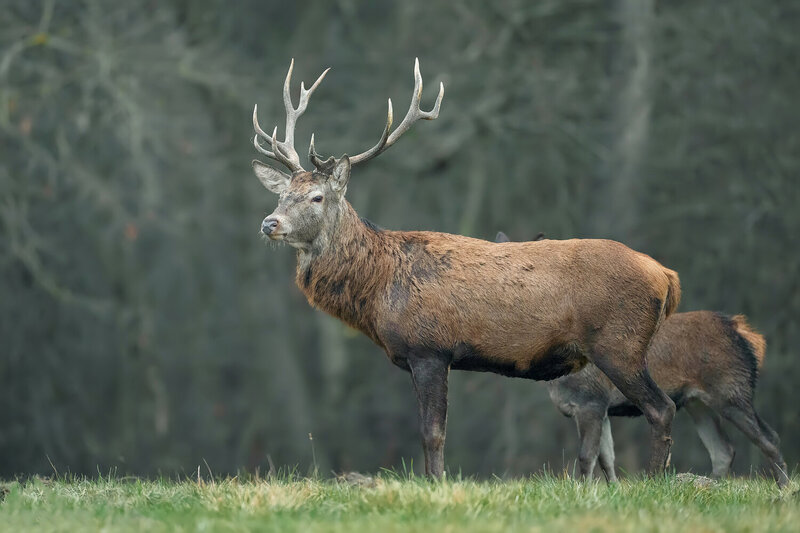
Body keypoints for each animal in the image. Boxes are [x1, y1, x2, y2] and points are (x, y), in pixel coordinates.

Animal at [251, 59, 682, 479]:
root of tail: (666, 276)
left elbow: (433, 433)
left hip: (619, 344)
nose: (270, 223)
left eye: (317, 196)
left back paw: (654, 480)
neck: (379, 288)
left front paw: (437, 484)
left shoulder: (429, 348)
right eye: (282, 194)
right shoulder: (418, 357)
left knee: (662, 408)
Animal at [496, 231, 789, 487]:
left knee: (769, 437)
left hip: (731, 389)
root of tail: (746, 335)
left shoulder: (592, 400)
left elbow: (587, 457)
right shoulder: (602, 408)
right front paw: (612, 491)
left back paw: (783, 487)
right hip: (697, 402)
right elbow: (608, 459)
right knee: (723, 450)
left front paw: (582, 490)